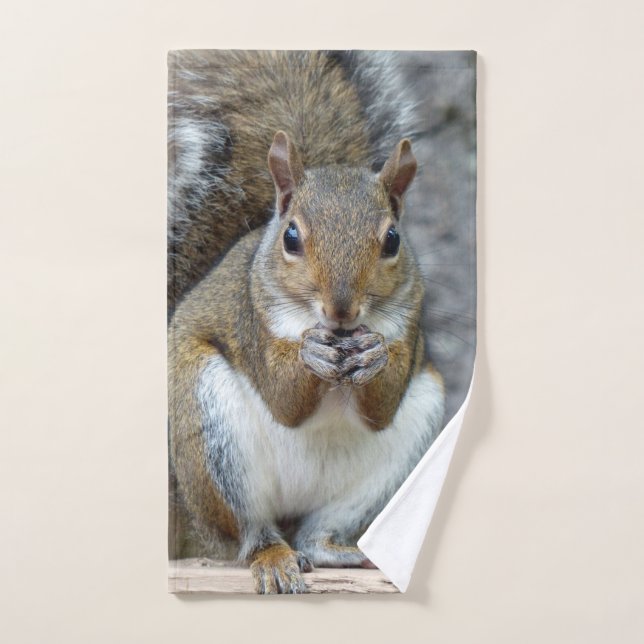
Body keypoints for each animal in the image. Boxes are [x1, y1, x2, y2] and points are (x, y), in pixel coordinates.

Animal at [168, 50, 446, 594]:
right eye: (291, 237)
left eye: (393, 239)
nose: (341, 311)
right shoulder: (250, 316)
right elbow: (284, 398)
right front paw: (309, 355)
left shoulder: (409, 323)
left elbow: (382, 406)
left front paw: (375, 357)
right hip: (210, 436)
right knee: (250, 534)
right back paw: (273, 558)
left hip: (406, 445)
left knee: (318, 533)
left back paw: (340, 552)